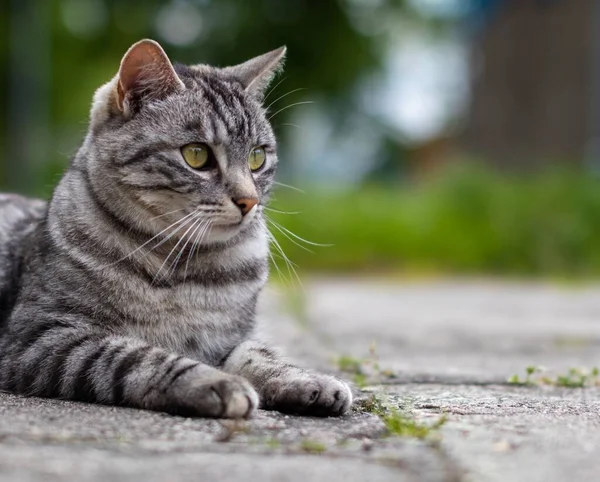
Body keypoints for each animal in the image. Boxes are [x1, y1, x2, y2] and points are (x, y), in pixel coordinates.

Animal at [0, 40, 352, 418]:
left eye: (257, 157)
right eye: (197, 155)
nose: (249, 201)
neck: (182, 267)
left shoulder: (233, 337)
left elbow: (257, 355)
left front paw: (308, 380)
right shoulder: (43, 337)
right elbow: (138, 357)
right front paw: (215, 382)